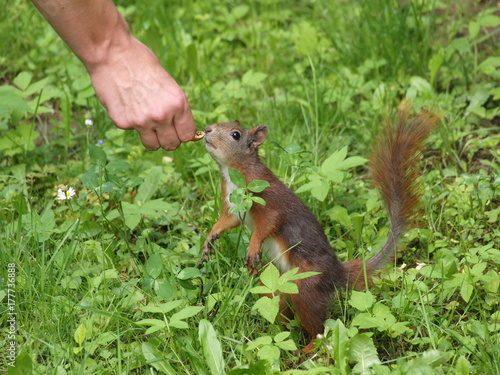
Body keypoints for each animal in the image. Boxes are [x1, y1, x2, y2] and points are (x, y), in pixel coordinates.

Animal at [200, 108, 438, 352]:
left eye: (235, 134)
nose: (206, 129)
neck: (234, 174)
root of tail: (335, 273)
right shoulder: (233, 207)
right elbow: (227, 222)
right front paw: (210, 238)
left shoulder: (269, 200)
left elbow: (269, 223)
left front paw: (253, 247)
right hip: (277, 286)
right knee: (277, 307)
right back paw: (275, 333)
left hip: (306, 288)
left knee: (319, 327)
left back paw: (308, 349)